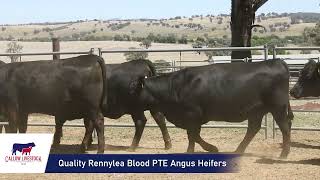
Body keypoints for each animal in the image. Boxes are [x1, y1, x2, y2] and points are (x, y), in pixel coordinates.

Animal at [136, 59, 294, 158]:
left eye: (133, 88)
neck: (176, 86)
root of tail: (277, 61)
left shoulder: (192, 115)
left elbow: (192, 135)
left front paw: (192, 151)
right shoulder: (193, 118)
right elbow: (194, 135)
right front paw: (211, 148)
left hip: (278, 108)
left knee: (285, 128)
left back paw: (284, 154)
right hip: (256, 111)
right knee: (253, 129)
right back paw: (238, 150)